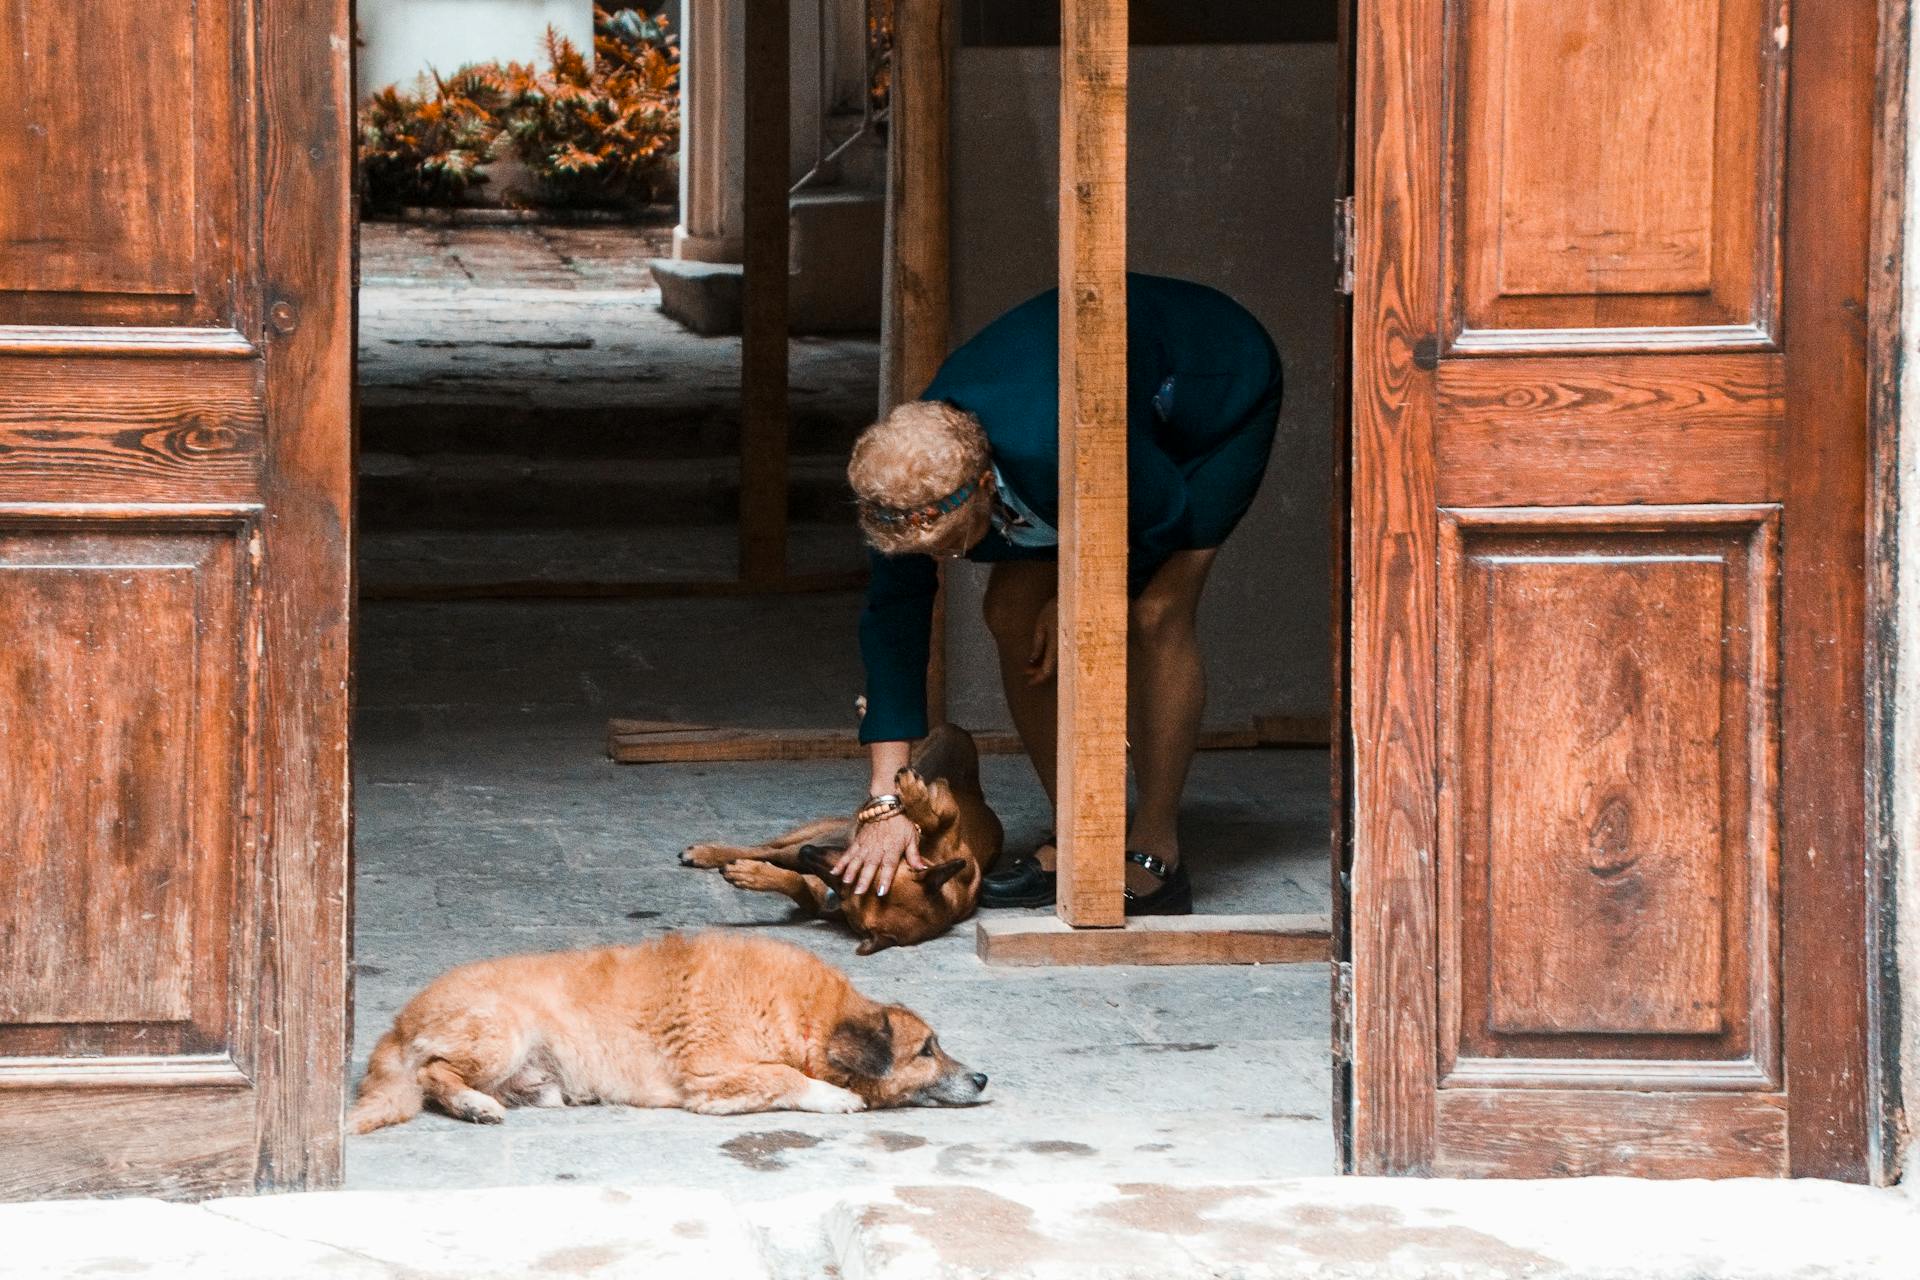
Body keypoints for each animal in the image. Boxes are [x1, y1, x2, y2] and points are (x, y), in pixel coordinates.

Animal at [349, 932, 990, 1128]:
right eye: (926, 1050)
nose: (983, 1078)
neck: (804, 1017)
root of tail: (396, 1025)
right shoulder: (713, 1079)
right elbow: (784, 1077)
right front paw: (834, 1097)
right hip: (501, 1032)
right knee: (433, 1075)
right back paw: (473, 1104)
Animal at [683, 725, 1006, 955]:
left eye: (847, 888)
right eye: (865, 875)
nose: (809, 853)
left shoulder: (819, 897)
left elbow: (796, 883)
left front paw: (751, 875)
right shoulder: (948, 811)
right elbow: (933, 817)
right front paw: (915, 796)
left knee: (772, 853)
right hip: (812, 834)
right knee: (765, 847)